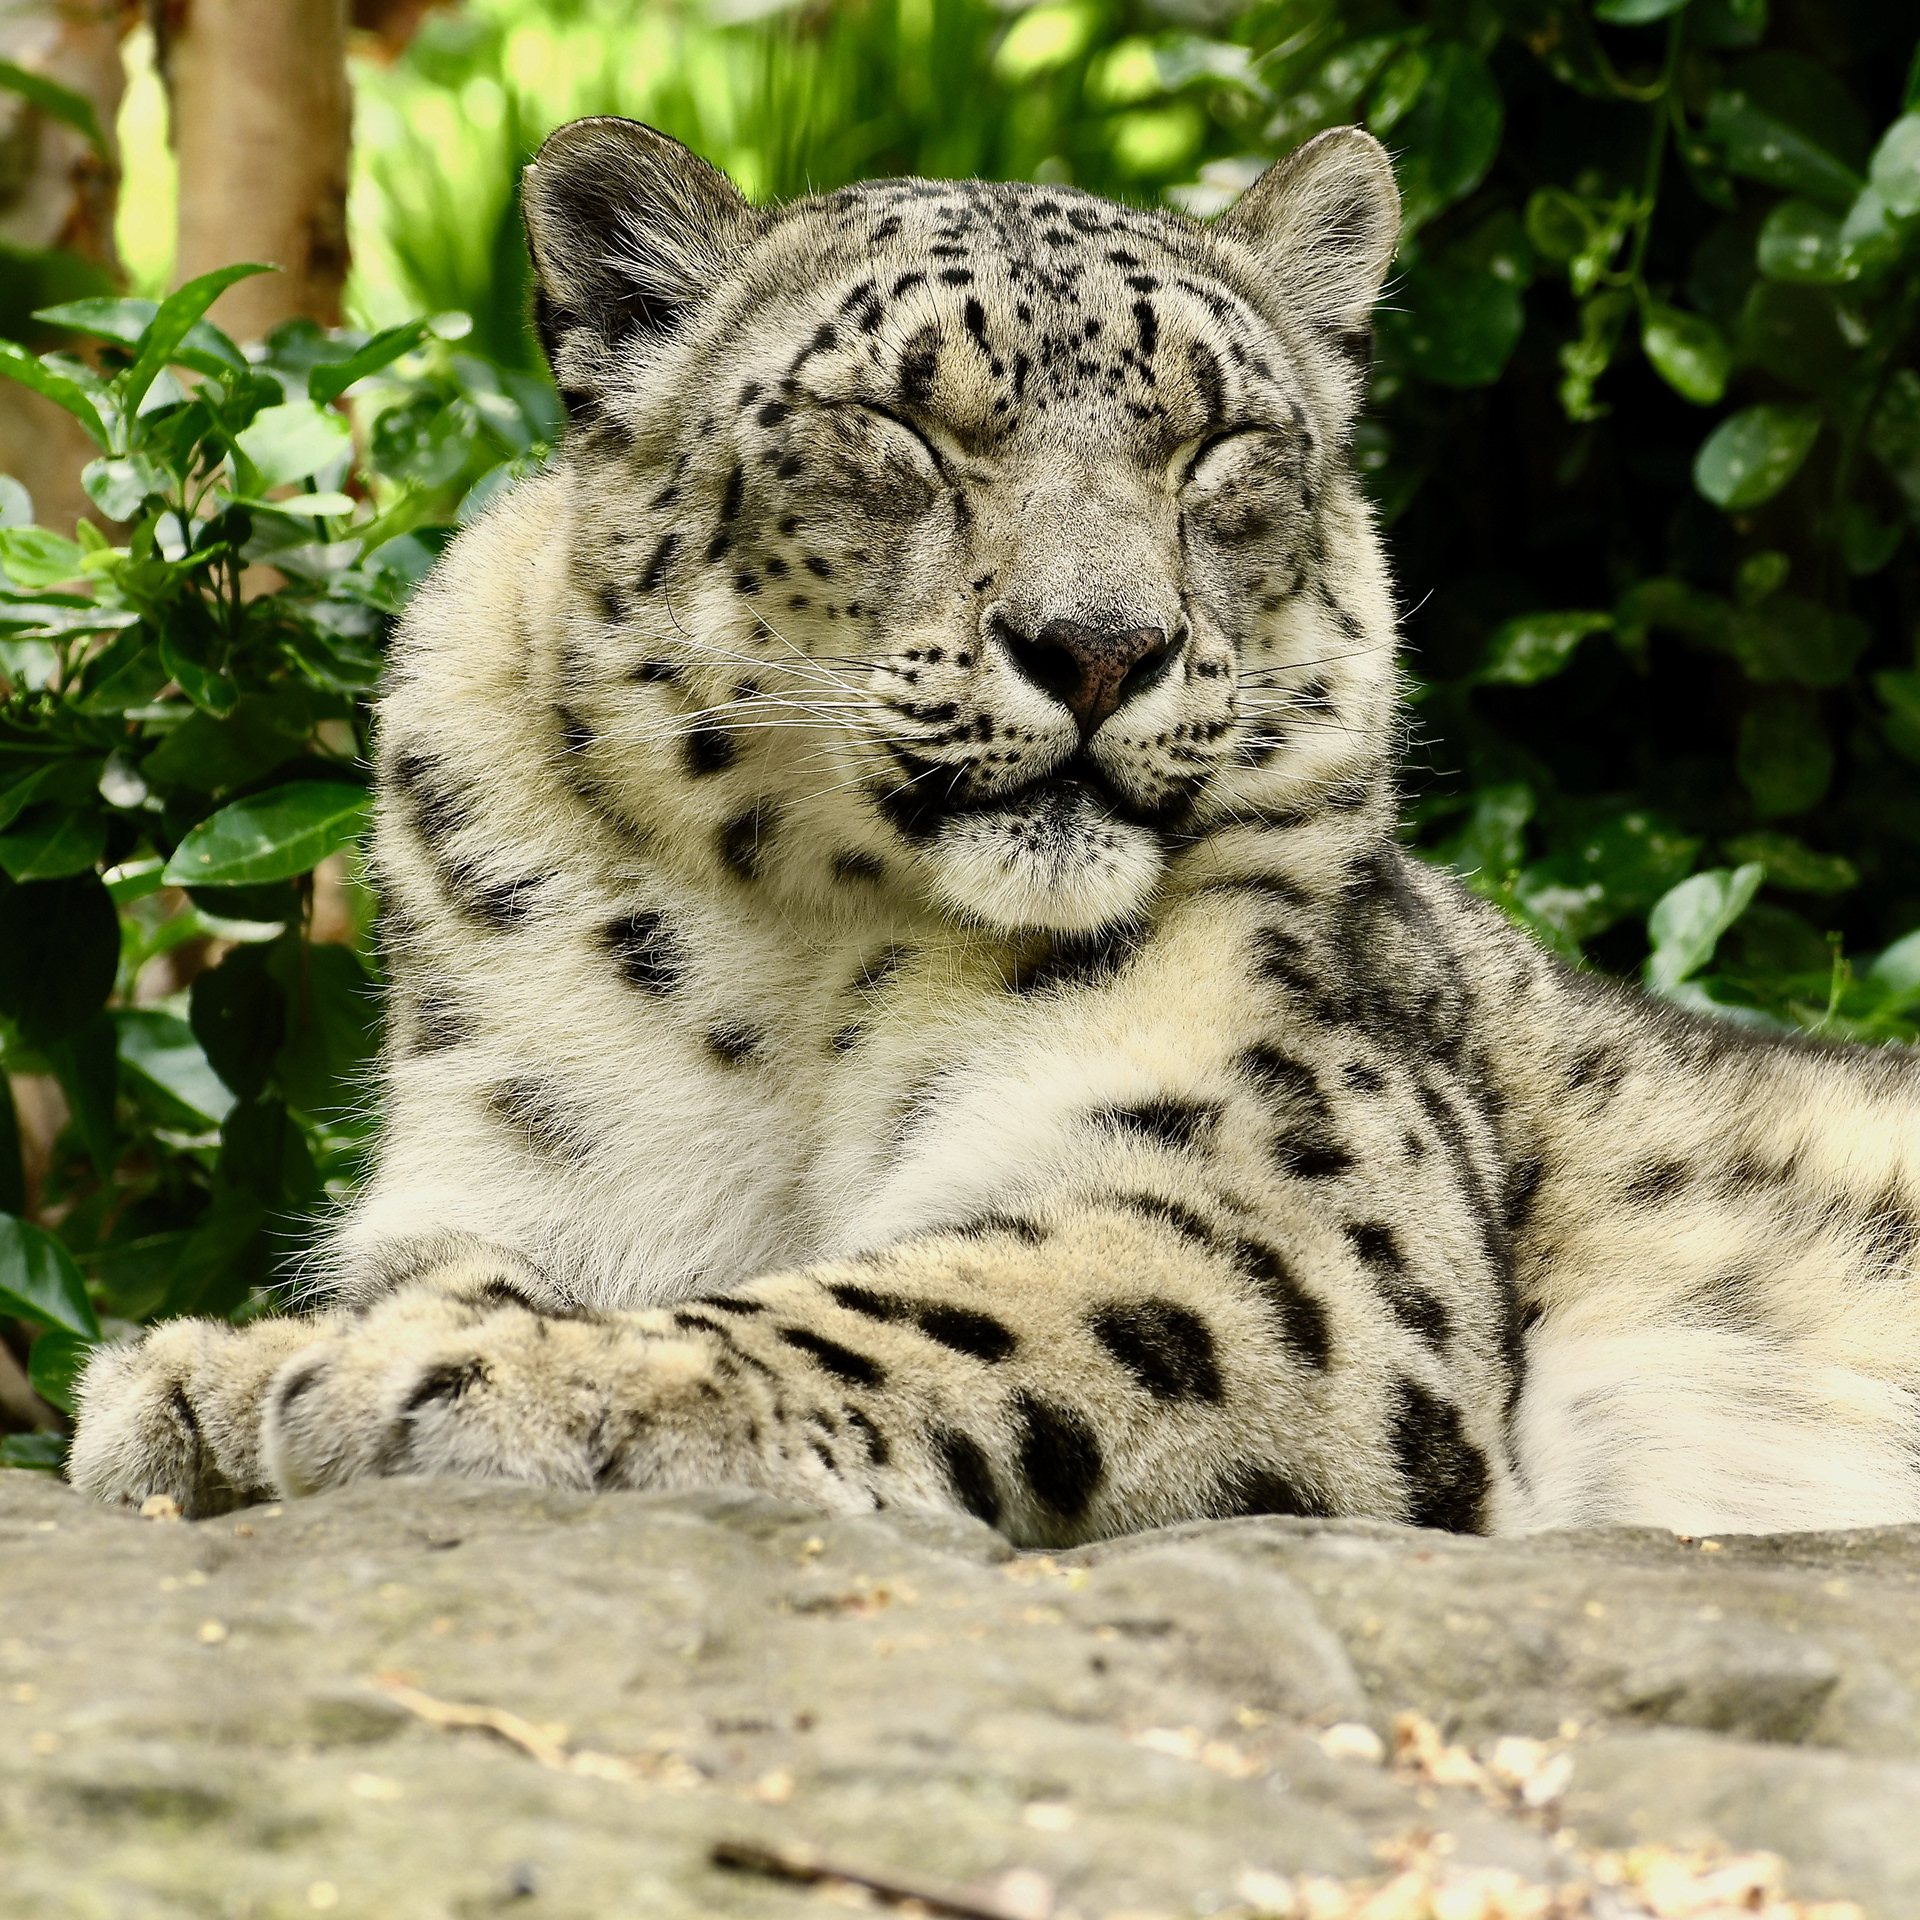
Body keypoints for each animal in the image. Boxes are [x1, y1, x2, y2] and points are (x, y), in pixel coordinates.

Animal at [69, 117, 1920, 1542]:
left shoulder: (1275, 1208)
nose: (1100, 645)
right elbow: (474, 1266)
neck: (788, 964)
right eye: (900, 425)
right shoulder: (498, 1178)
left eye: (1220, 443)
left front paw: (469, 1376)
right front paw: (211, 1374)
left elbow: (923, 1305)